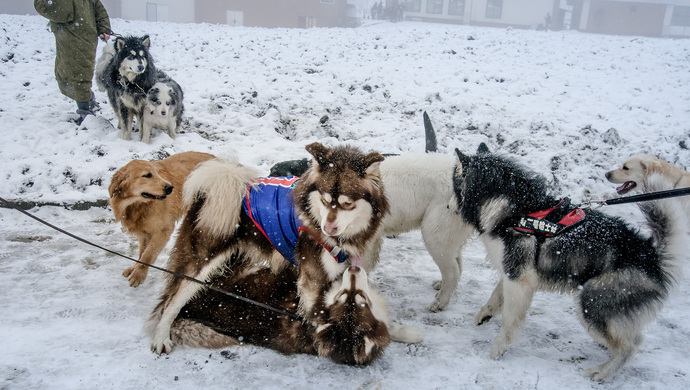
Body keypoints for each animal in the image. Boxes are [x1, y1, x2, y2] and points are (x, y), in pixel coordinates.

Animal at [452, 143, 684, 380]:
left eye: (454, 183)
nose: (448, 206)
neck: (517, 211)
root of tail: (651, 257)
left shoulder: (519, 279)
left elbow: (509, 321)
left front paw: (498, 348)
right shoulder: (515, 271)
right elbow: (496, 296)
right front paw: (485, 314)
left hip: (592, 303)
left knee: (629, 347)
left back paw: (600, 373)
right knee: (633, 338)